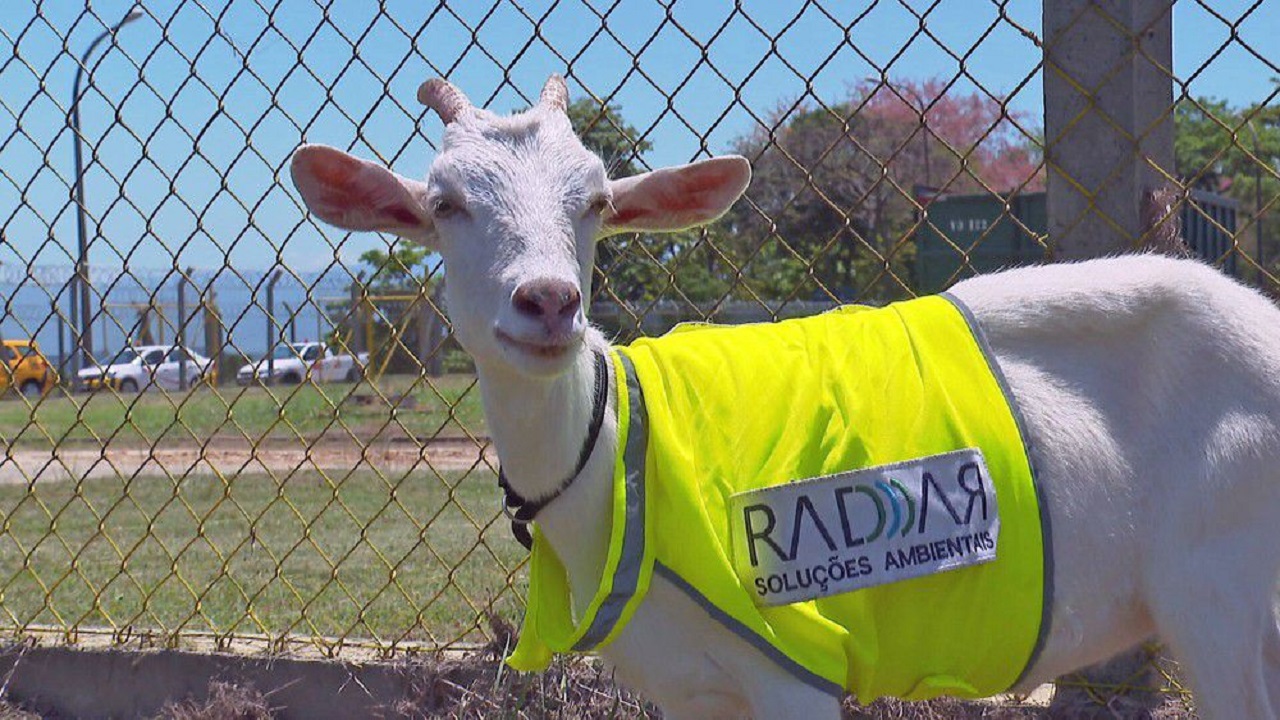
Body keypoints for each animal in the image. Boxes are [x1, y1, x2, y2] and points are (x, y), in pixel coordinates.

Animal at [290, 75, 1280, 719]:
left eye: (597, 202)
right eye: (444, 203)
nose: (547, 302)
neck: (622, 456)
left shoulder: (795, 660)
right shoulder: (693, 691)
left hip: (1225, 596)